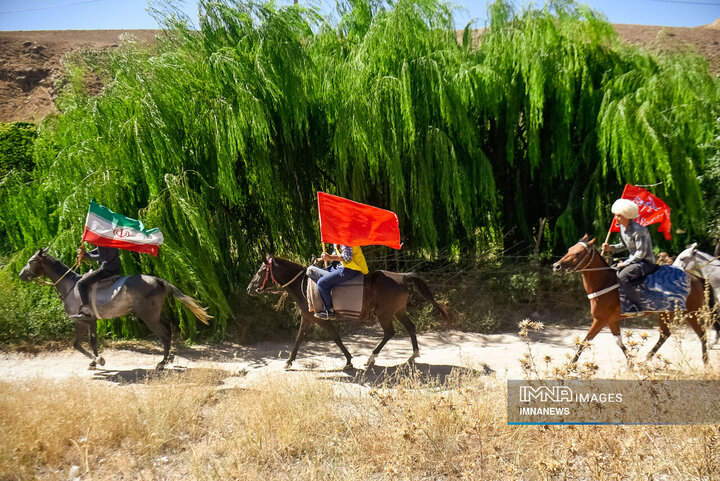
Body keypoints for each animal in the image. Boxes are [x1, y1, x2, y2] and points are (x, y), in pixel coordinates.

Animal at [19, 248, 211, 368]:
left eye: (31, 261)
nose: (21, 275)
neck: (70, 286)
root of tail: (158, 280)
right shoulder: (92, 321)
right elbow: (93, 341)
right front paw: (94, 361)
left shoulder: (80, 321)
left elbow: (77, 344)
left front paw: (98, 360)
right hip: (156, 314)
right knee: (169, 329)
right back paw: (168, 358)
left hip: (148, 317)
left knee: (164, 334)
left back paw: (162, 363)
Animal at [249, 255, 450, 368]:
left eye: (260, 272)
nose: (249, 288)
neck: (303, 285)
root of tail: (402, 276)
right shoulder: (312, 319)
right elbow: (329, 338)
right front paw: (348, 359)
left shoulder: (316, 319)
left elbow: (315, 338)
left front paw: (289, 361)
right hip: (398, 311)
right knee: (410, 327)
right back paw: (413, 355)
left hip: (384, 314)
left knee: (389, 333)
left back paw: (371, 358)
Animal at [556, 235, 704, 364]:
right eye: (569, 249)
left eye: (578, 253)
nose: (556, 266)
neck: (605, 282)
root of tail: (696, 278)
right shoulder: (611, 321)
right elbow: (619, 342)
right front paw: (631, 363)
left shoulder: (600, 320)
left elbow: (584, 341)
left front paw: (571, 365)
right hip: (667, 313)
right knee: (665, 335)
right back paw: (646, 359)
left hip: (692, 313)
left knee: (701, 335)